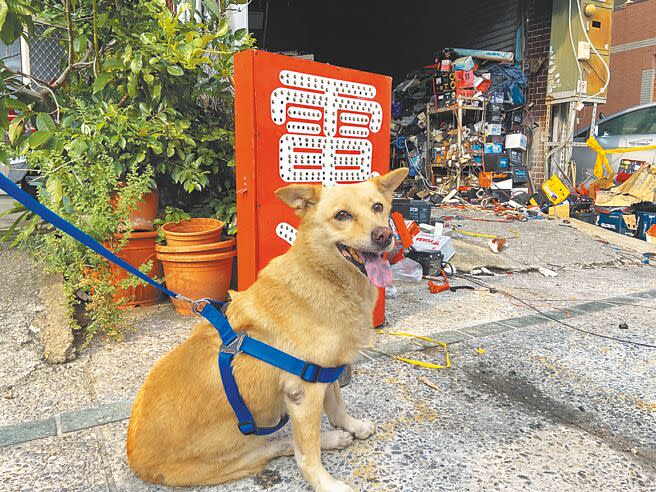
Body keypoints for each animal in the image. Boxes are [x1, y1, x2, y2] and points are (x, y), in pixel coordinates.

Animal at [125, 167, 408, 490]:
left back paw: (333, 437)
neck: (326, 278)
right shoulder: (304, 392)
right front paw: (325, 483)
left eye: (378, 207)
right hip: (236, 455)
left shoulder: (327, 371)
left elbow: (337, 406)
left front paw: (352, 426)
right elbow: (307, 454)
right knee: (284, 446)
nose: (384, 235)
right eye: (342, 215)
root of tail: (136, 461)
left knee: (283, 443)